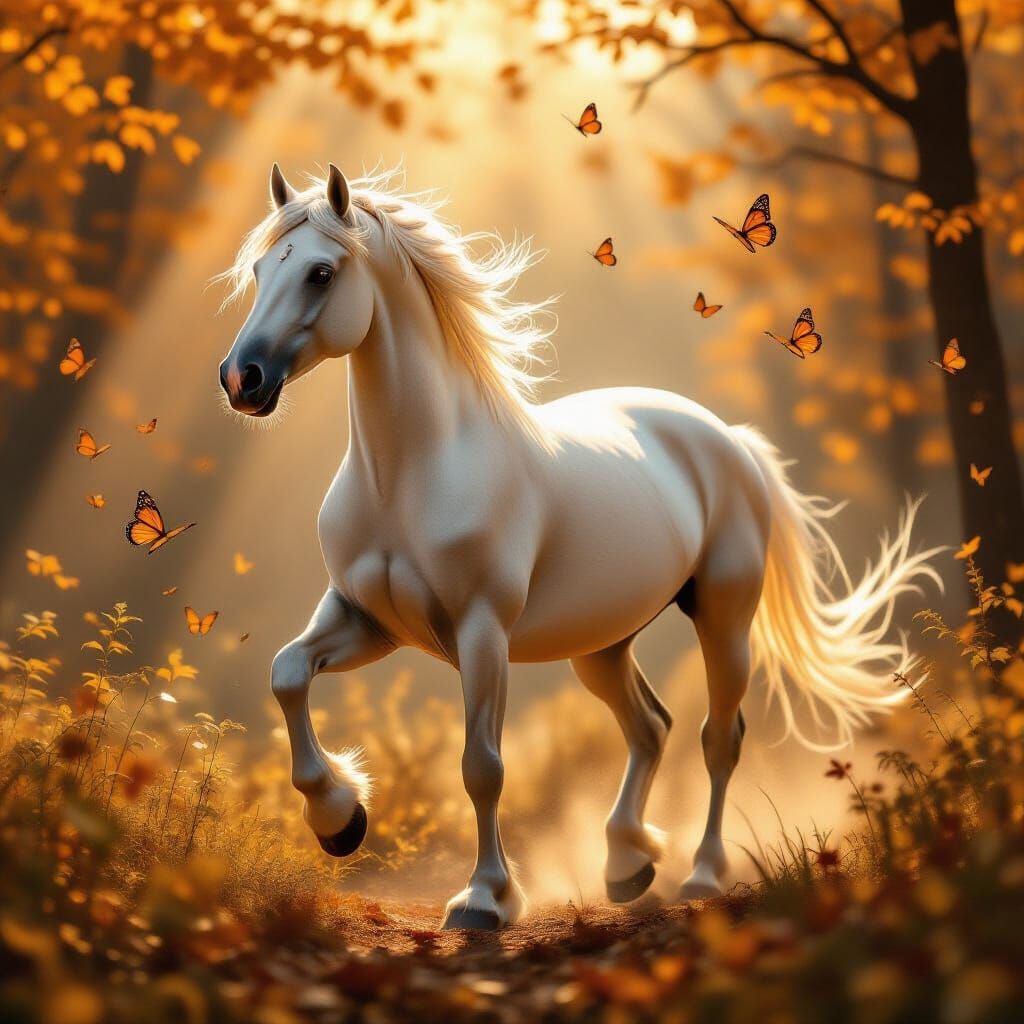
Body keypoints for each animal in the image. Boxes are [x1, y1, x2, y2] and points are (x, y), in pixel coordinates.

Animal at [217, 163, 941, 930]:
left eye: (321, 272)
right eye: (259, 269)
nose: (241, 380)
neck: (413, 472)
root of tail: (728, 438)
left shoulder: (481, 633)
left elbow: (482, 765)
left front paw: (484, 898)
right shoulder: (367, 621)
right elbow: (287, 673)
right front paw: (341, 818)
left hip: (724, 619)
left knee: (718, 738)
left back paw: (700, 875)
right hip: (602, 645)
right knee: (650, 728)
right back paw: (627, 864)